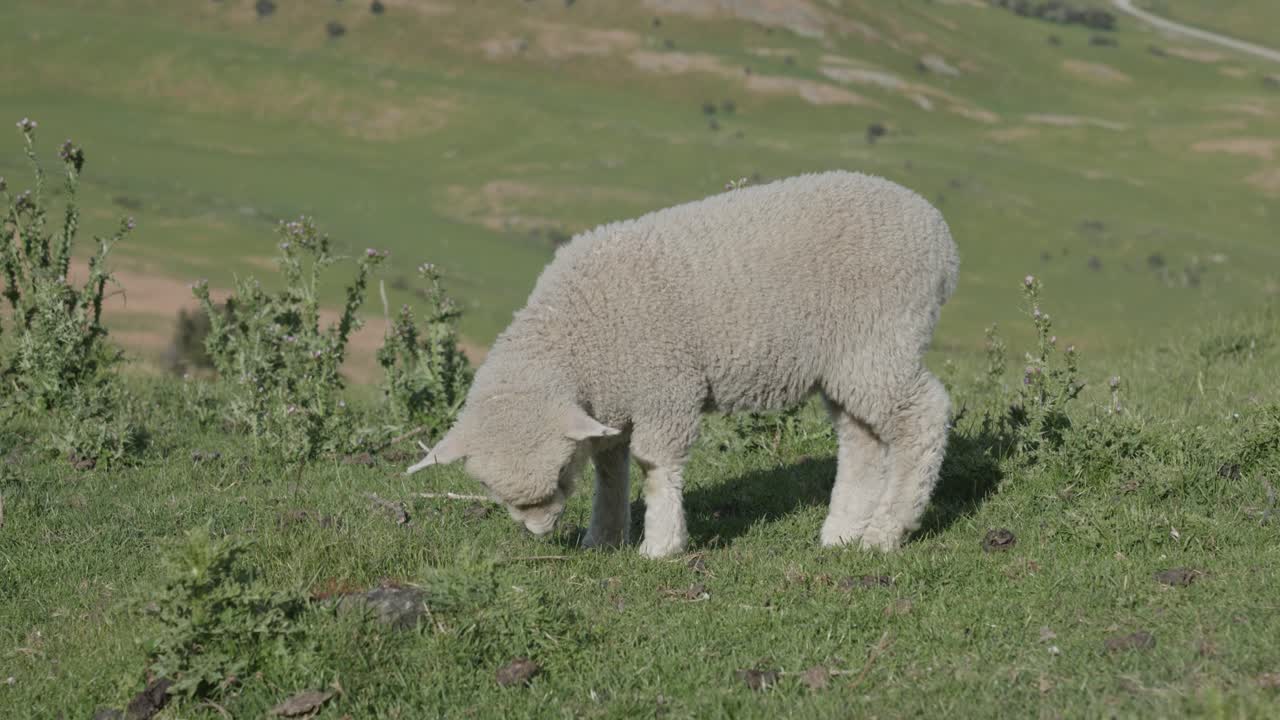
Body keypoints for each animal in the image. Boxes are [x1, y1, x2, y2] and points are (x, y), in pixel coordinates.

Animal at [407, 170, 960, 558]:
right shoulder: (612, 401)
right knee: (861, 440)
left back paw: (886, 532)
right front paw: (603, 538)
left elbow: (655, 465)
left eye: (562, 473)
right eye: (489, 489)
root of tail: (941, 236)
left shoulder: (664, 388)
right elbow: (611, 470)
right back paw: (842, 533)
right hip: (847, 361)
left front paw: (660, 545)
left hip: (880, 340)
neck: (578, 334)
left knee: (924, 416)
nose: (541, 531)